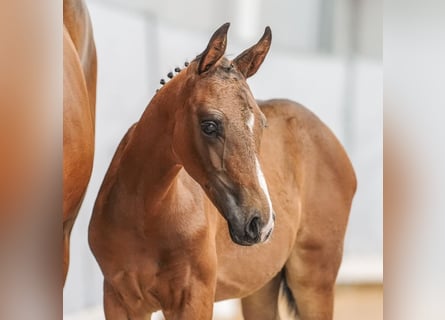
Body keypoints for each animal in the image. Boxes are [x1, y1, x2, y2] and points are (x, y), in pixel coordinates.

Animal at [88, 23, 356, 320]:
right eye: (209, 125)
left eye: (261, 124)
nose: (260, 222)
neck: (145, 214)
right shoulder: (119, 301)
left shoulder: (195, 299)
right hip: (260, 286)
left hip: (314, 279)